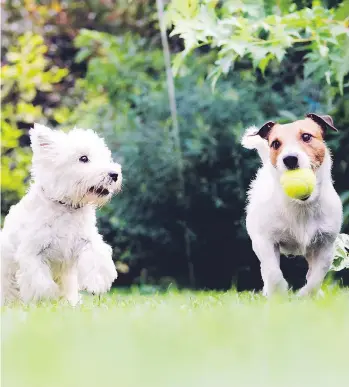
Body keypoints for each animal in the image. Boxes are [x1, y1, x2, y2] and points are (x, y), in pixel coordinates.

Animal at [0, 124, 121, 306]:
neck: (66, 206)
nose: (114, 175)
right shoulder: (33, 251)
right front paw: (47, 300)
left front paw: (96, 284)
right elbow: (41, 283)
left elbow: (96, 257)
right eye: (83, 158)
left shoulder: (85, 240)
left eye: (105, 156)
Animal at [241, 114, 342, 298]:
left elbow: (317, 276)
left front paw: (305, 295)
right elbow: (273, 272)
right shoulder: (265, 241)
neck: (301, 205)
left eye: (306, 136)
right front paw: (280, 294)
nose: (289, 159)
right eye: (275, 143)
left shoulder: (325, 245)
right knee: (265, 269)